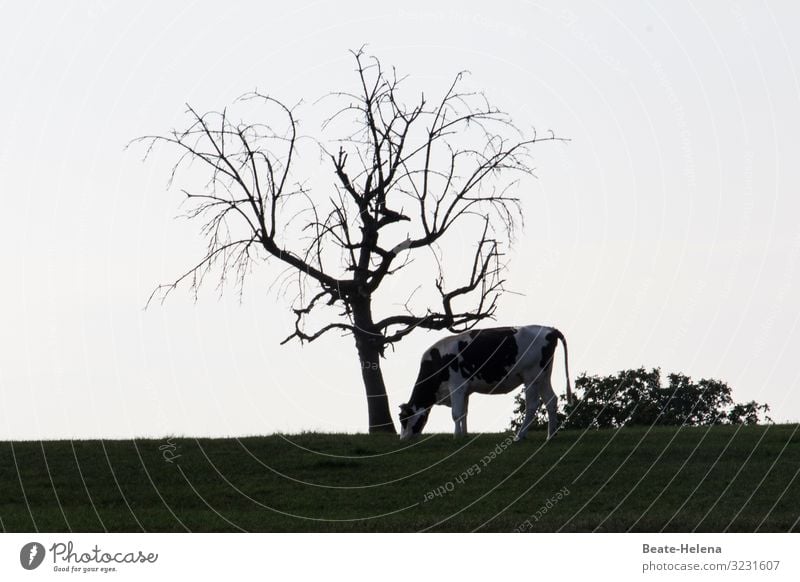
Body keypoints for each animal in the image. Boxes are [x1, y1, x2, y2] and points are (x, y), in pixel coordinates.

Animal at [398, 328, 572, 442]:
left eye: (403, 419)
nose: (402, 439)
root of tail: (549, 329)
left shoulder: (456, 386)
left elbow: (456, 413)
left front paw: (456, 436)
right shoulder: (465, 390)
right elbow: (464, 412)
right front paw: (464, 435)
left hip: (531, 376)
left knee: (532, 404)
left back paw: (519, 436)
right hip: (543, 376)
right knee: (551, 400)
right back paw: (550, 435)